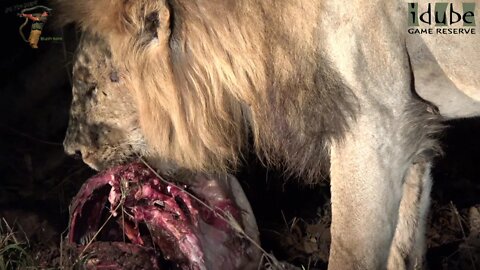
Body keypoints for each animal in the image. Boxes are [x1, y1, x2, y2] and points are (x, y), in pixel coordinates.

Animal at [57, 1, 480, 268]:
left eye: (94, 86)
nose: (71, 150)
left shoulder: (375, 121)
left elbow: (350, 252)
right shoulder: (412, 123)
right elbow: (404, 244)